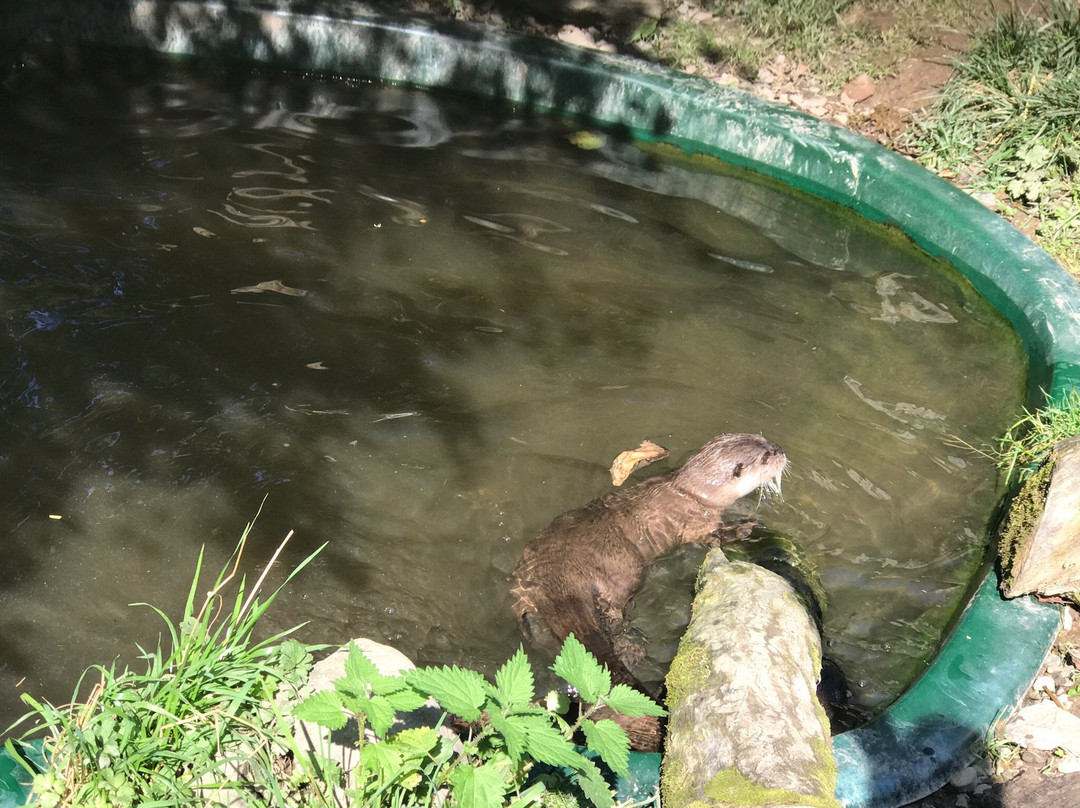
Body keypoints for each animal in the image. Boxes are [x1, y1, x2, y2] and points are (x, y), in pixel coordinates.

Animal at [505, 436, 786, 751]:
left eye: (765, 440)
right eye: (765, 456)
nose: (781, 451)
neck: (693, 493)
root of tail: (561, 580)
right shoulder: (696, 523)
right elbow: (714, 537)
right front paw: (747, 527)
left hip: (522, 586)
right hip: (621, 574)